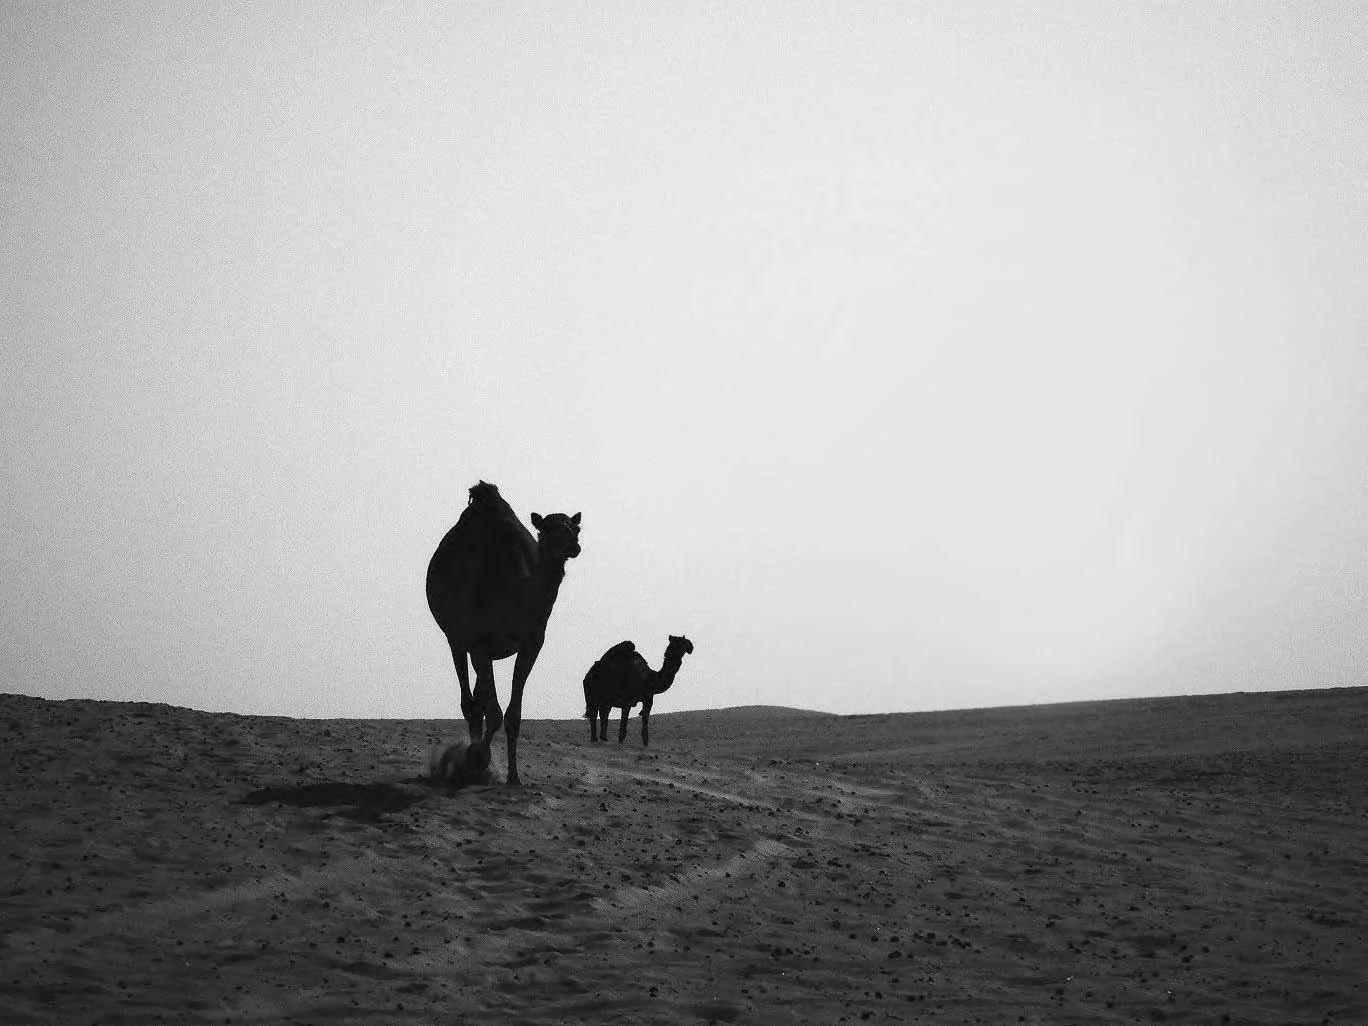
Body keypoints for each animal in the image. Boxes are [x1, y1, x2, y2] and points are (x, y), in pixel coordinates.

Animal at [426, 481, 581, 786]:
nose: (574, 545)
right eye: (547, 528)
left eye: (575, 527)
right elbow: (494, 713)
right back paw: (469, 761)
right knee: (470, 702)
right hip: (456, 638)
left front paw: (513, 777)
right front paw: (477, 758)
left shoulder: (531, 644)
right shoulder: (480, 642)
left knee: (478, 701)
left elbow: (512, 715)